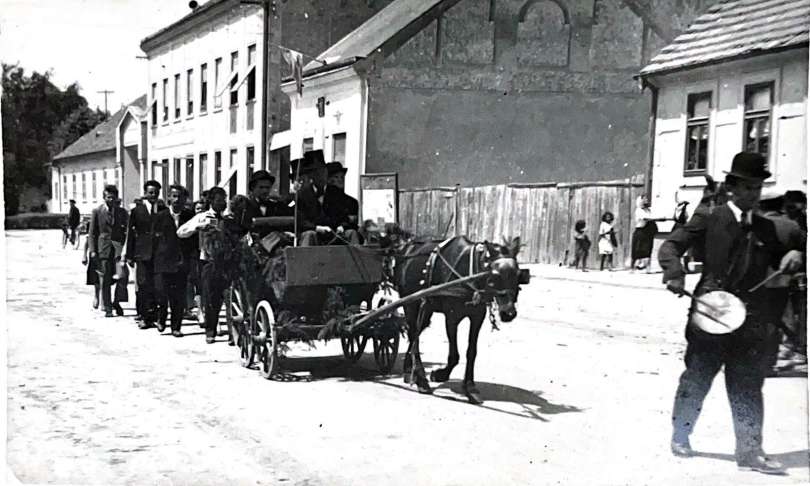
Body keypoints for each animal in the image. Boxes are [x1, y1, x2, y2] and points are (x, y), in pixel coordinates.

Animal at [392, 235, 524, 402]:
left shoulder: (477, 317)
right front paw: (440, 374)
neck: (469, 274)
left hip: (426, 308)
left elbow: (471, 352)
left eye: (519, 274)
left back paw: (410, 371)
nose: (509, 313)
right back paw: (421, 380)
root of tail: (406, 249)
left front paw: (470, 387)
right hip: (409, 303)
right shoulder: (452, 317)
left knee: (414, 334)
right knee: (413, 336)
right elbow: (454, 355)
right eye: (495, 276)